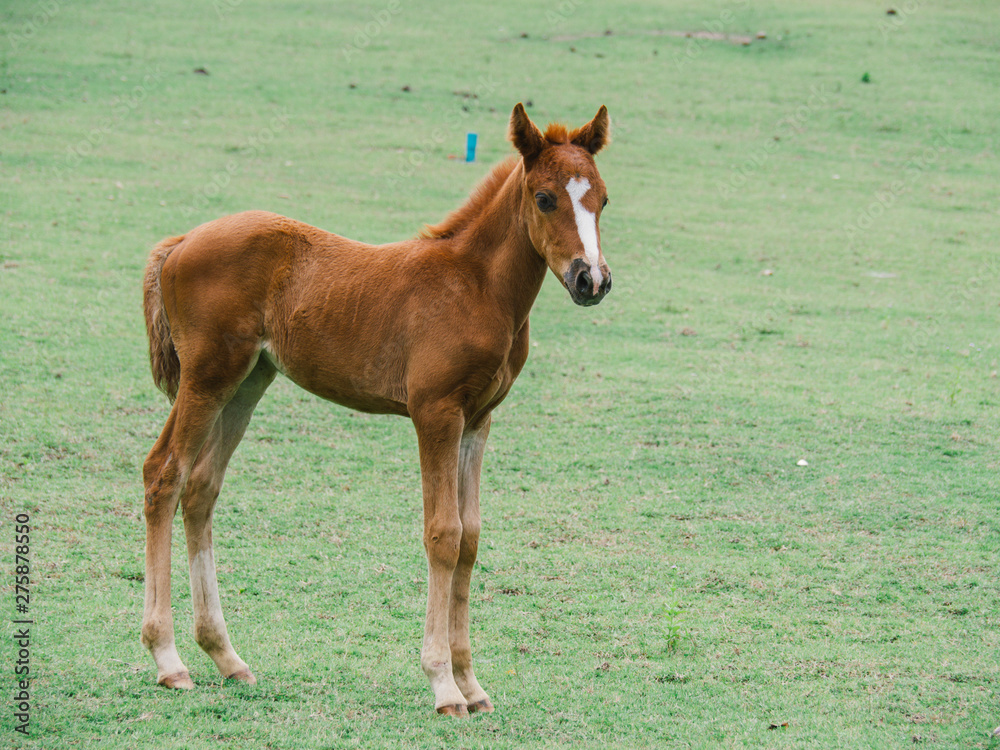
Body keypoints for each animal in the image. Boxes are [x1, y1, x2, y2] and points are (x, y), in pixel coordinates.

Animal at [140, 103, 612, 716]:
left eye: (603, 199)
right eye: (545, 197)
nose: (591, 280)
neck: (475, 287)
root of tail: (181, 242)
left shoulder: (477, 421)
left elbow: (471, 538)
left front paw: (472, 683)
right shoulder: (436, 413)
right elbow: (443, 534)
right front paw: (443, 685)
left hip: (247, 382)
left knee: (200, 488)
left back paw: (226, 657)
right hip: (206, 378)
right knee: (164, 474)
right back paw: (168, 659)